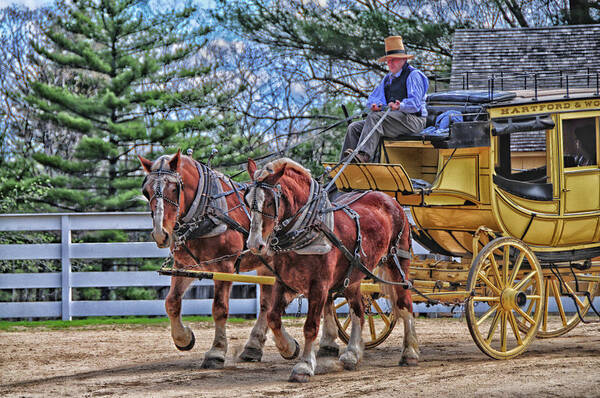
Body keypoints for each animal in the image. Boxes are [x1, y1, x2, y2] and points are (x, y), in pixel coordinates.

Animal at [138, 151, 300, 368]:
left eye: (174, 188)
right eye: (146, 191)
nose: (160, 233)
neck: (205, 210)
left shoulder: (225, 266)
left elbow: (220, 309)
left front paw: (216, 352)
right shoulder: (185, 265)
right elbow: (171, 302)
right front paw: (184, 338)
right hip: (266, 265)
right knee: (267, 305)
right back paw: (254, 347)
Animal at [246, 158, 420, 382]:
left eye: (269, 202)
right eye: (247, 200)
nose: (254, 244)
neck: (309, 229)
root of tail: (389, 199)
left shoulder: (319, 286)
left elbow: (311, 326)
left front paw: (303, 366)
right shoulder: (285, 282)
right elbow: (273, 317)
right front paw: (289, 348)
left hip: (397, 262)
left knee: (404, 302)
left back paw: (410, 353)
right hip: (353, 276)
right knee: (358, 311)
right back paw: (352, 354)